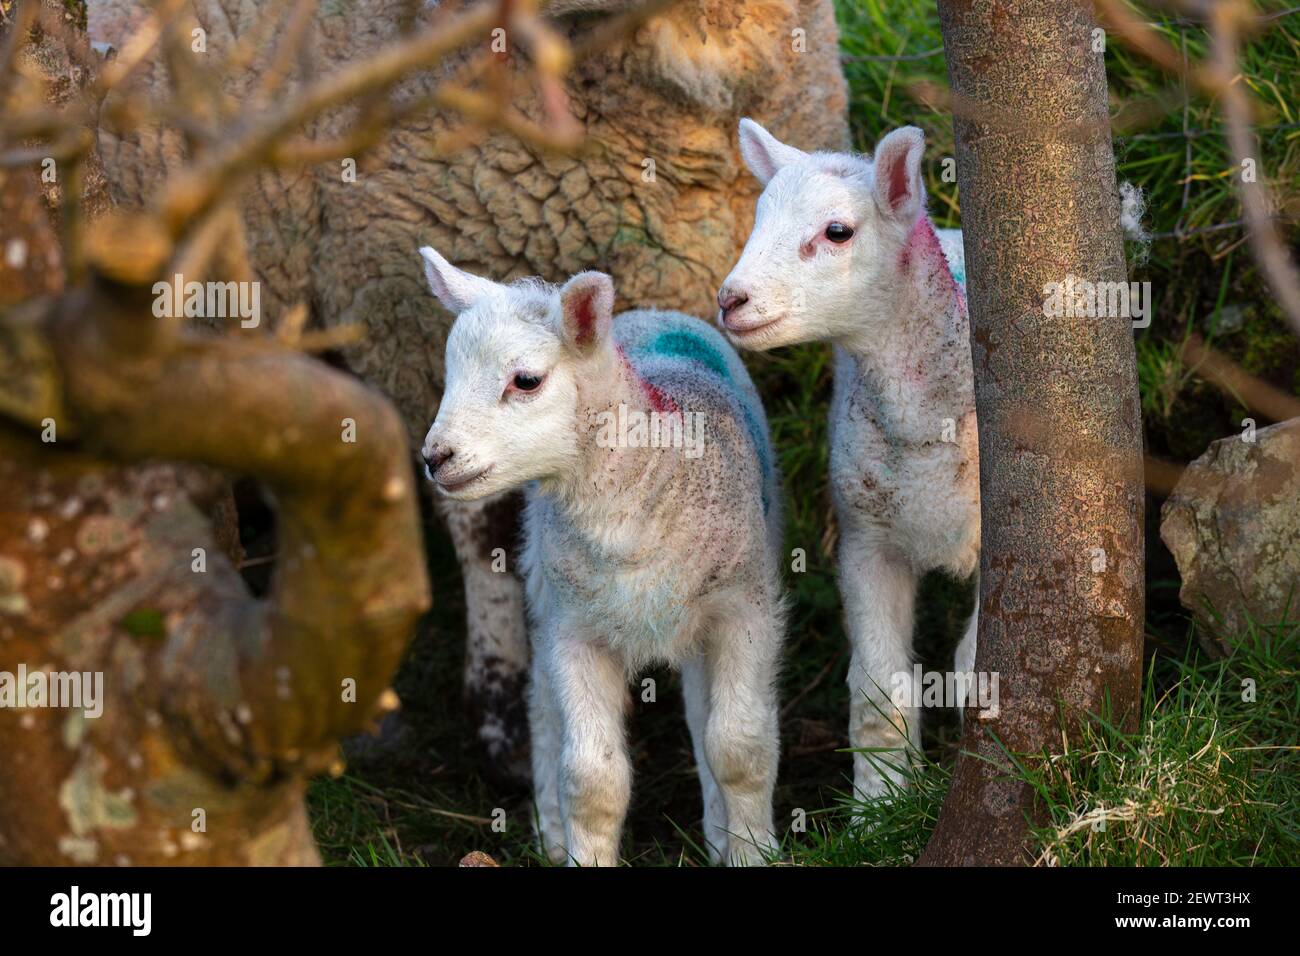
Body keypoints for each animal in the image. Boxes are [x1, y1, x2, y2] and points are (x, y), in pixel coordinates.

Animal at [416, 248, 785, 868]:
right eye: (449, 375)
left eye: (526, 380)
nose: (435, 458)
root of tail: (650, 313)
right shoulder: (575, 631)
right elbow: (592, 778)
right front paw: (581, 846)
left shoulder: (745, 607)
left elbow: (738, 746)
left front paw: (752, 851)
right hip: (546, 587)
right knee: (542, 704)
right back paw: (550, 828)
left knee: (700, 708)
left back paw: (716, 831)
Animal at [717, 121, 977, 806]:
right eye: (757, 217)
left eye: (838, 232)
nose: (731, 300)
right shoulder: (866, 540)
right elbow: (879, 691)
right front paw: (880, 806)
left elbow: (973, 667)